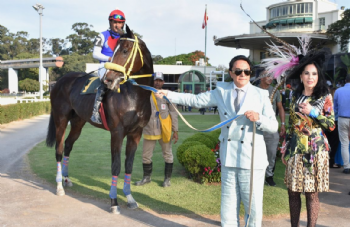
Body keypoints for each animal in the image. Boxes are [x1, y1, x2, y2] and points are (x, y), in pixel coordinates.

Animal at [45, 25, 153, 214]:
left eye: (125, 50)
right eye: (116, 50)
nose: (108, 79)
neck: (134, 96)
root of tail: (60, 81)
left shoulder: (136, 133)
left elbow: (129, 165)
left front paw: (130, 198)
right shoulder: (117, 133)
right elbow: (116, 166)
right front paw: (114, 202)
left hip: (78, 122)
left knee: (68, 145)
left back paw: (66, 178)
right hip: (61, 120)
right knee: (59, 150)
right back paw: (59, 186)